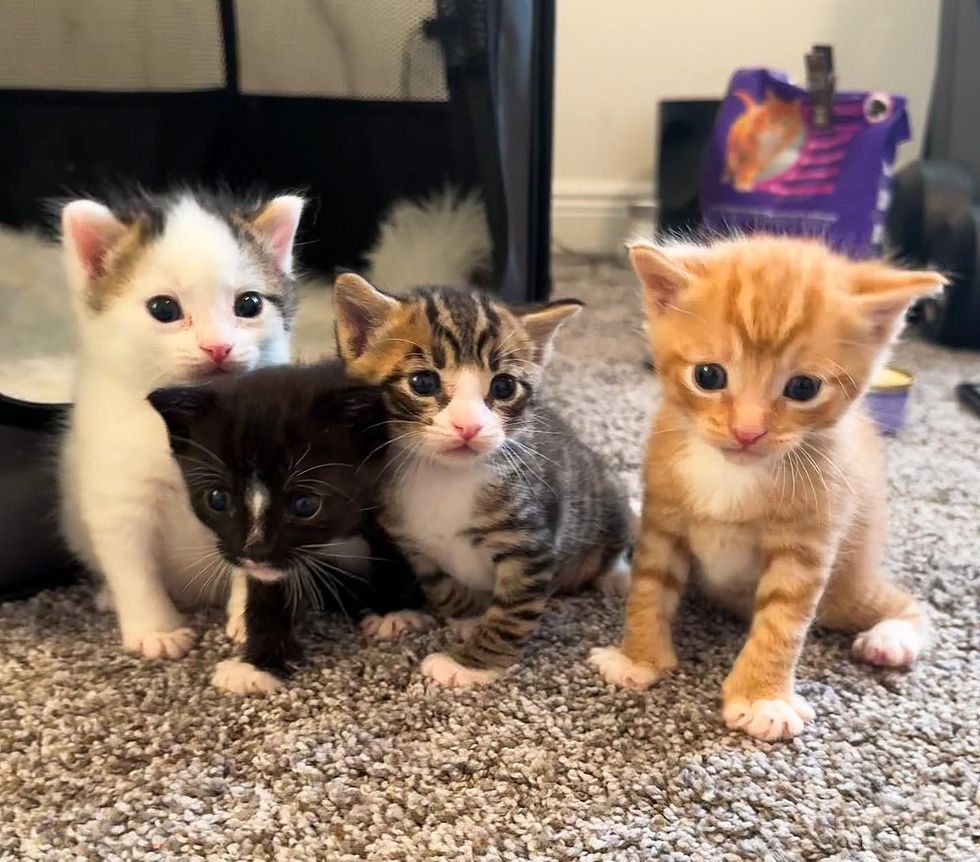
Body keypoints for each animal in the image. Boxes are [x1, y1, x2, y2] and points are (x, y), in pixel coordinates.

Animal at [58, 191, 302, 660]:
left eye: (249, 305)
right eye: (164, 308)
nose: (218, 346)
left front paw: (250, 619)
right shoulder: (118, 496)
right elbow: (132, 566)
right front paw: (155, 629)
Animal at [147, 360, 424, 696]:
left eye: (305, 504)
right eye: (217, 498)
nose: (255, 549)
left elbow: (388, 542)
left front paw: (395, 611)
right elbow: (265, 588)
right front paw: (258, 663)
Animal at [334, 276, 632, 688]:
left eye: (504, 386)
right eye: (423, 382)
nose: (469, 426)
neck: (443, 476)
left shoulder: (531, 542)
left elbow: (512, 611)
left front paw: (472, 663)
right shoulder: (412, 544)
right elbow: (441, 588)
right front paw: (470, 617)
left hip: (604, 491)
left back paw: (616, 575)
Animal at [588, 236, 940, 744]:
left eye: (804, 387)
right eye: (708, 376)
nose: (747, 431)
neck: (731, 471)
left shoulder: (808, 543)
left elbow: (783, 622)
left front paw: (762, 699)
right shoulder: (663, 520)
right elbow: (649, 587)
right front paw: (636, 659)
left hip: (847, 586)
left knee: (903, 603)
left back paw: (891, 638)